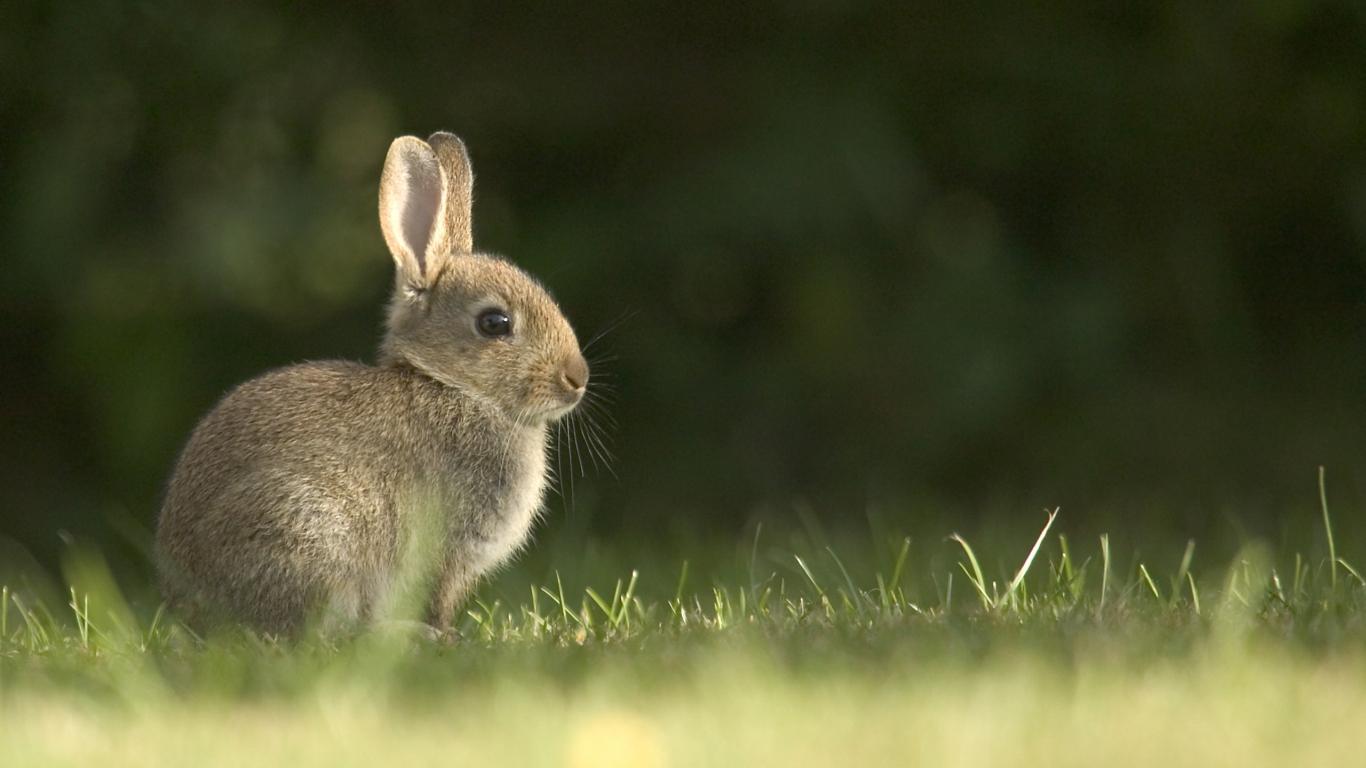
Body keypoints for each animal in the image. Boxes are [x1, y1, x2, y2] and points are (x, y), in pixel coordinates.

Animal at [155, 132, 589, 637]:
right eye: (494, 323)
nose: (577, 378)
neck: (453, 386)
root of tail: (188, 608)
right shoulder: (447, 549)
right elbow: (436, 598)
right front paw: (445, 635)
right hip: (307, 532)